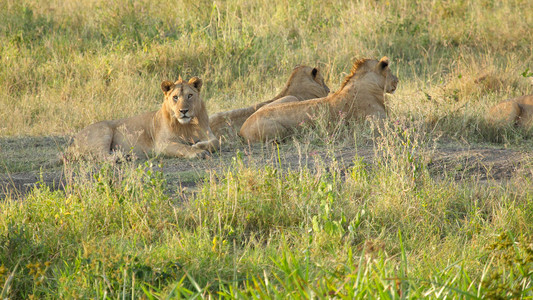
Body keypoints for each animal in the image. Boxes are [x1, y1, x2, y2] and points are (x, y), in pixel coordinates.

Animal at [68, 76, 218, 161]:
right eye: (175, 97)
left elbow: (216, 142)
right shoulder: (162, 144)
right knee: (100, 156)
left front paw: (198, 145)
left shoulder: (208, 133)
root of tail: (72, 142)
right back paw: (121, 158)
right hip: (104, 130)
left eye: (190, 95)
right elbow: (183, 147)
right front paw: (198, 152)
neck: (186, 125)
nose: (183, 111)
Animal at [239, 57, 396, 144]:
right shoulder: (378, 122)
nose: (397, 80)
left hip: (290, 98)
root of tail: (241, 128)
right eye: (389, 71)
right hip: (278, 131)